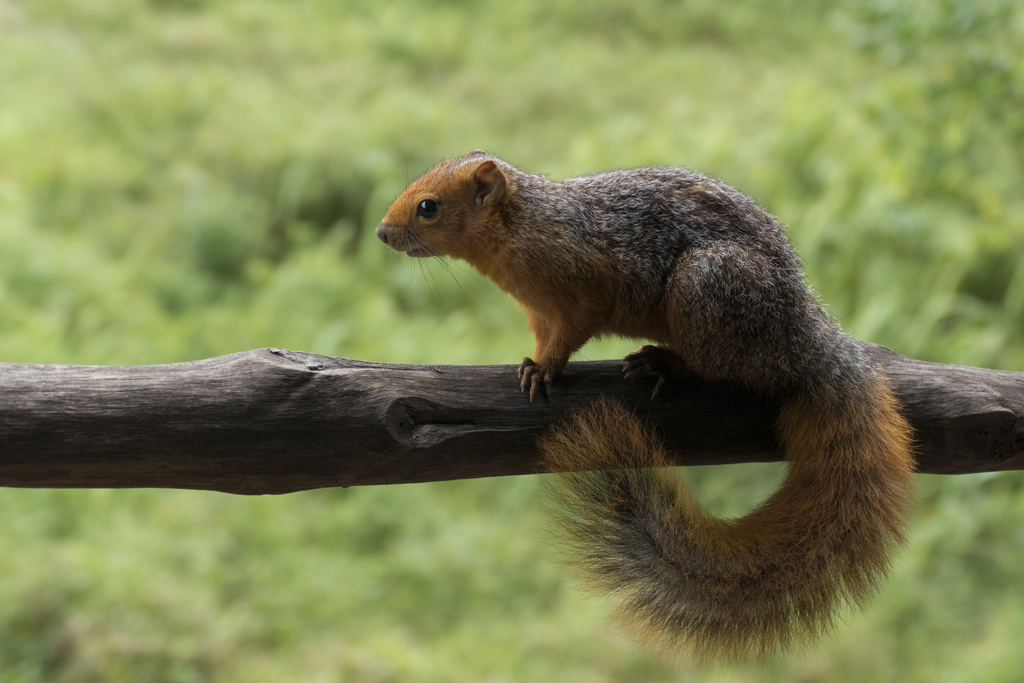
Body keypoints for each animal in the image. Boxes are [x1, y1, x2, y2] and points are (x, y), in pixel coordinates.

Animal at [375, 150, 916, 664]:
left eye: (428, 207)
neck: (525, 225)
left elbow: (569, 336)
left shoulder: (581, 288)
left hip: (710, 291)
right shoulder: (539, 312)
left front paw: (545, 369)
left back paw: (666, 364)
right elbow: (545, 336)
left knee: (728, 368)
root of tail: (803, 340)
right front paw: (532, 363)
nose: (381, 232)